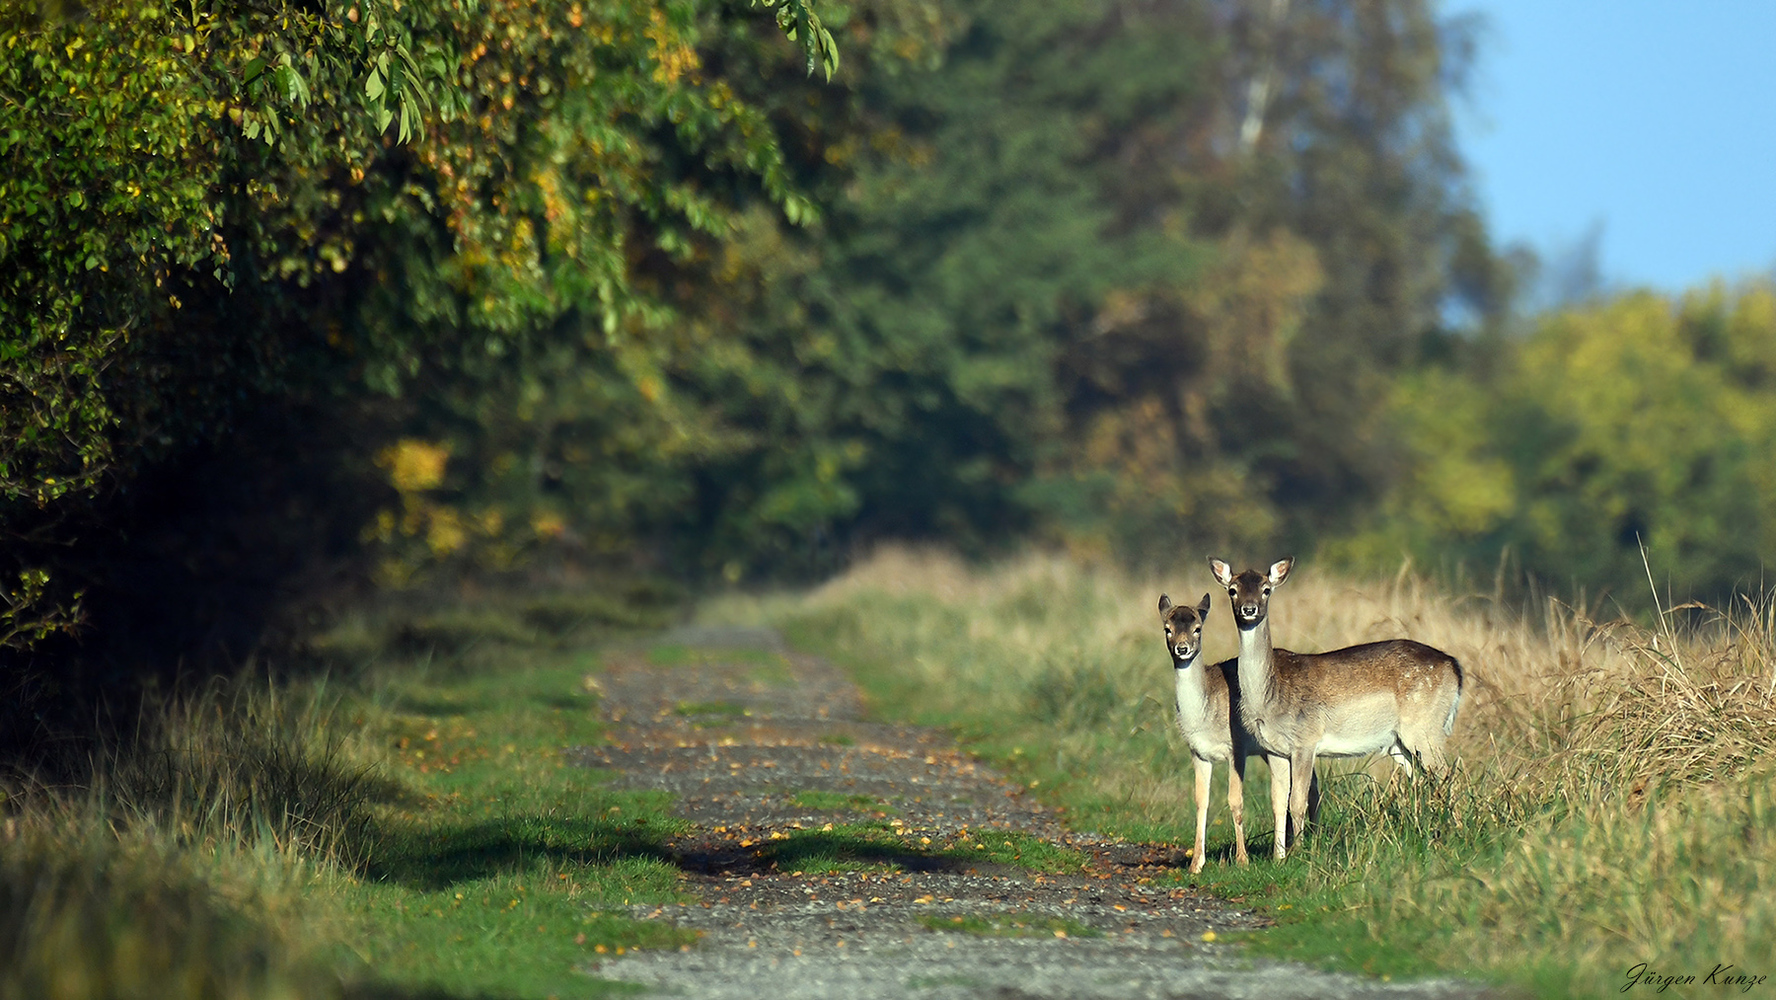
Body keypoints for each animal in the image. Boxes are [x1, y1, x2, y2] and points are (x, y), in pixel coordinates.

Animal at [1150, 589, 1321, 873]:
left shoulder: (1236, 748)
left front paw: (1242, 860)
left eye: (1198, 628)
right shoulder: (1198, 753)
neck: (1204, 717)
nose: (1182, 649)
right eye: (1167, 628)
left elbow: (1235, 800)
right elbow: (1201, 801)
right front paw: (1196, 864)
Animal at [1214, 554, 1463, 859]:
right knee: (1421, 780)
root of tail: (1454, 667)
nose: (1249, 609)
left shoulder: (1306, 740)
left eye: (1266, 589)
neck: (1269, 698)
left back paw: (1456, 831)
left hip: (1426, 729)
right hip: (1400, 742)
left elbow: (1298, 800)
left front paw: (1300, 853)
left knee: (1447, 775)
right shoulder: (1275, 749)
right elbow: (1278, 802)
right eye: (1232, 590)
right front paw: (1278, 857)